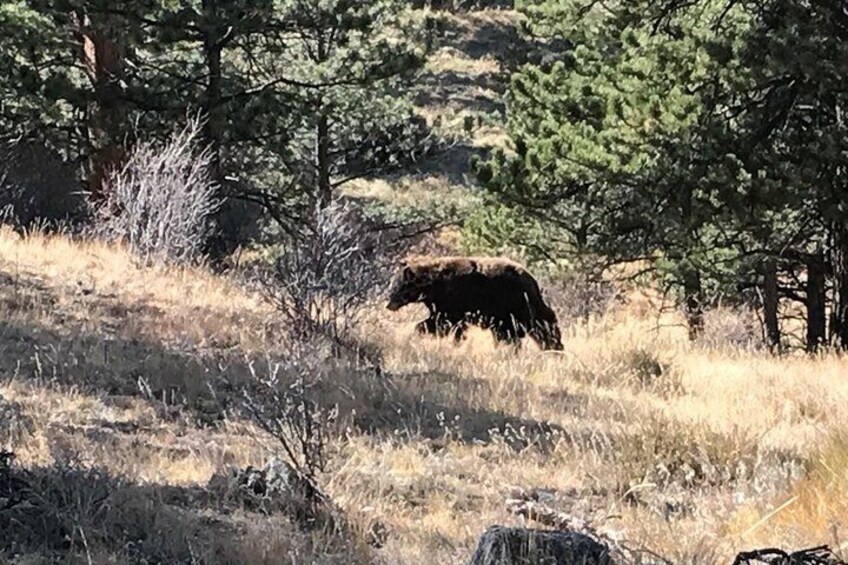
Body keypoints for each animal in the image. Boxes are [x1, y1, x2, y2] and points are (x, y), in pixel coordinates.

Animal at [385, 256, 564, 351]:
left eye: (396, 287)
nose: (389, 305)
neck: (432, 285)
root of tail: (532, 280)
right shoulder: (445, 306)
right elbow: (449, 325)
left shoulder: (452, 302)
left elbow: (441, 322)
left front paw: (419, 330)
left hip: (513, 306)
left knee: (539, 325)